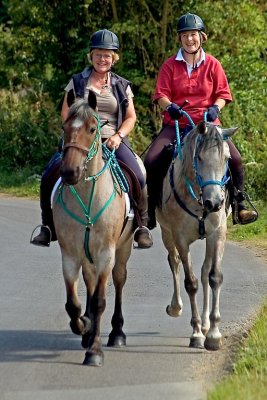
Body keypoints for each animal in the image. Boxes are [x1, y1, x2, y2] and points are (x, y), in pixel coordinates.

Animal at [52, 90, 135, 366]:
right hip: (86, 255)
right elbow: (72, 303)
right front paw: (83, 326)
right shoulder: (69, 254)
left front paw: (95, 351)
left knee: (119, 281)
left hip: (122, 249)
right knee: (88, 282)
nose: (70, 171)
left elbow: (99, 300)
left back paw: (117, 333)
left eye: (91, 128)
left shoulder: (106, 254)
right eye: (65, 127)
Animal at [157, 121, 239, 350]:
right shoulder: (180, 238)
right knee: (174, 261)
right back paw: (176, 308)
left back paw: (205, 323)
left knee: (204, 272)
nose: (215, 202)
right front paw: (196, 334)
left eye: (227, 158)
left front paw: (213, 333)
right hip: (166, 233)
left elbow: (214, 277)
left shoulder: (218, 234)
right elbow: (190, 283)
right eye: (199, 158)